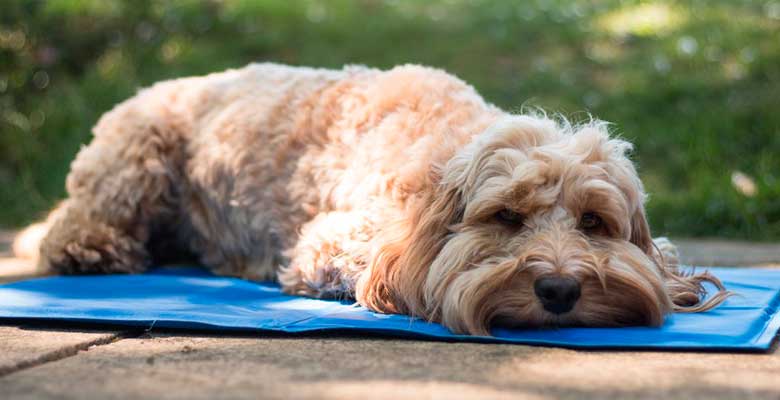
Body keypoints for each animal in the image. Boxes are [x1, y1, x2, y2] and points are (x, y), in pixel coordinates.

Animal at [15, 63, 728, 334]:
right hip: (135, 156)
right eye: (506, 217)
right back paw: (88, 248)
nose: (559, 290)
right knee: (71, 227)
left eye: (593, 221)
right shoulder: (329, 241)